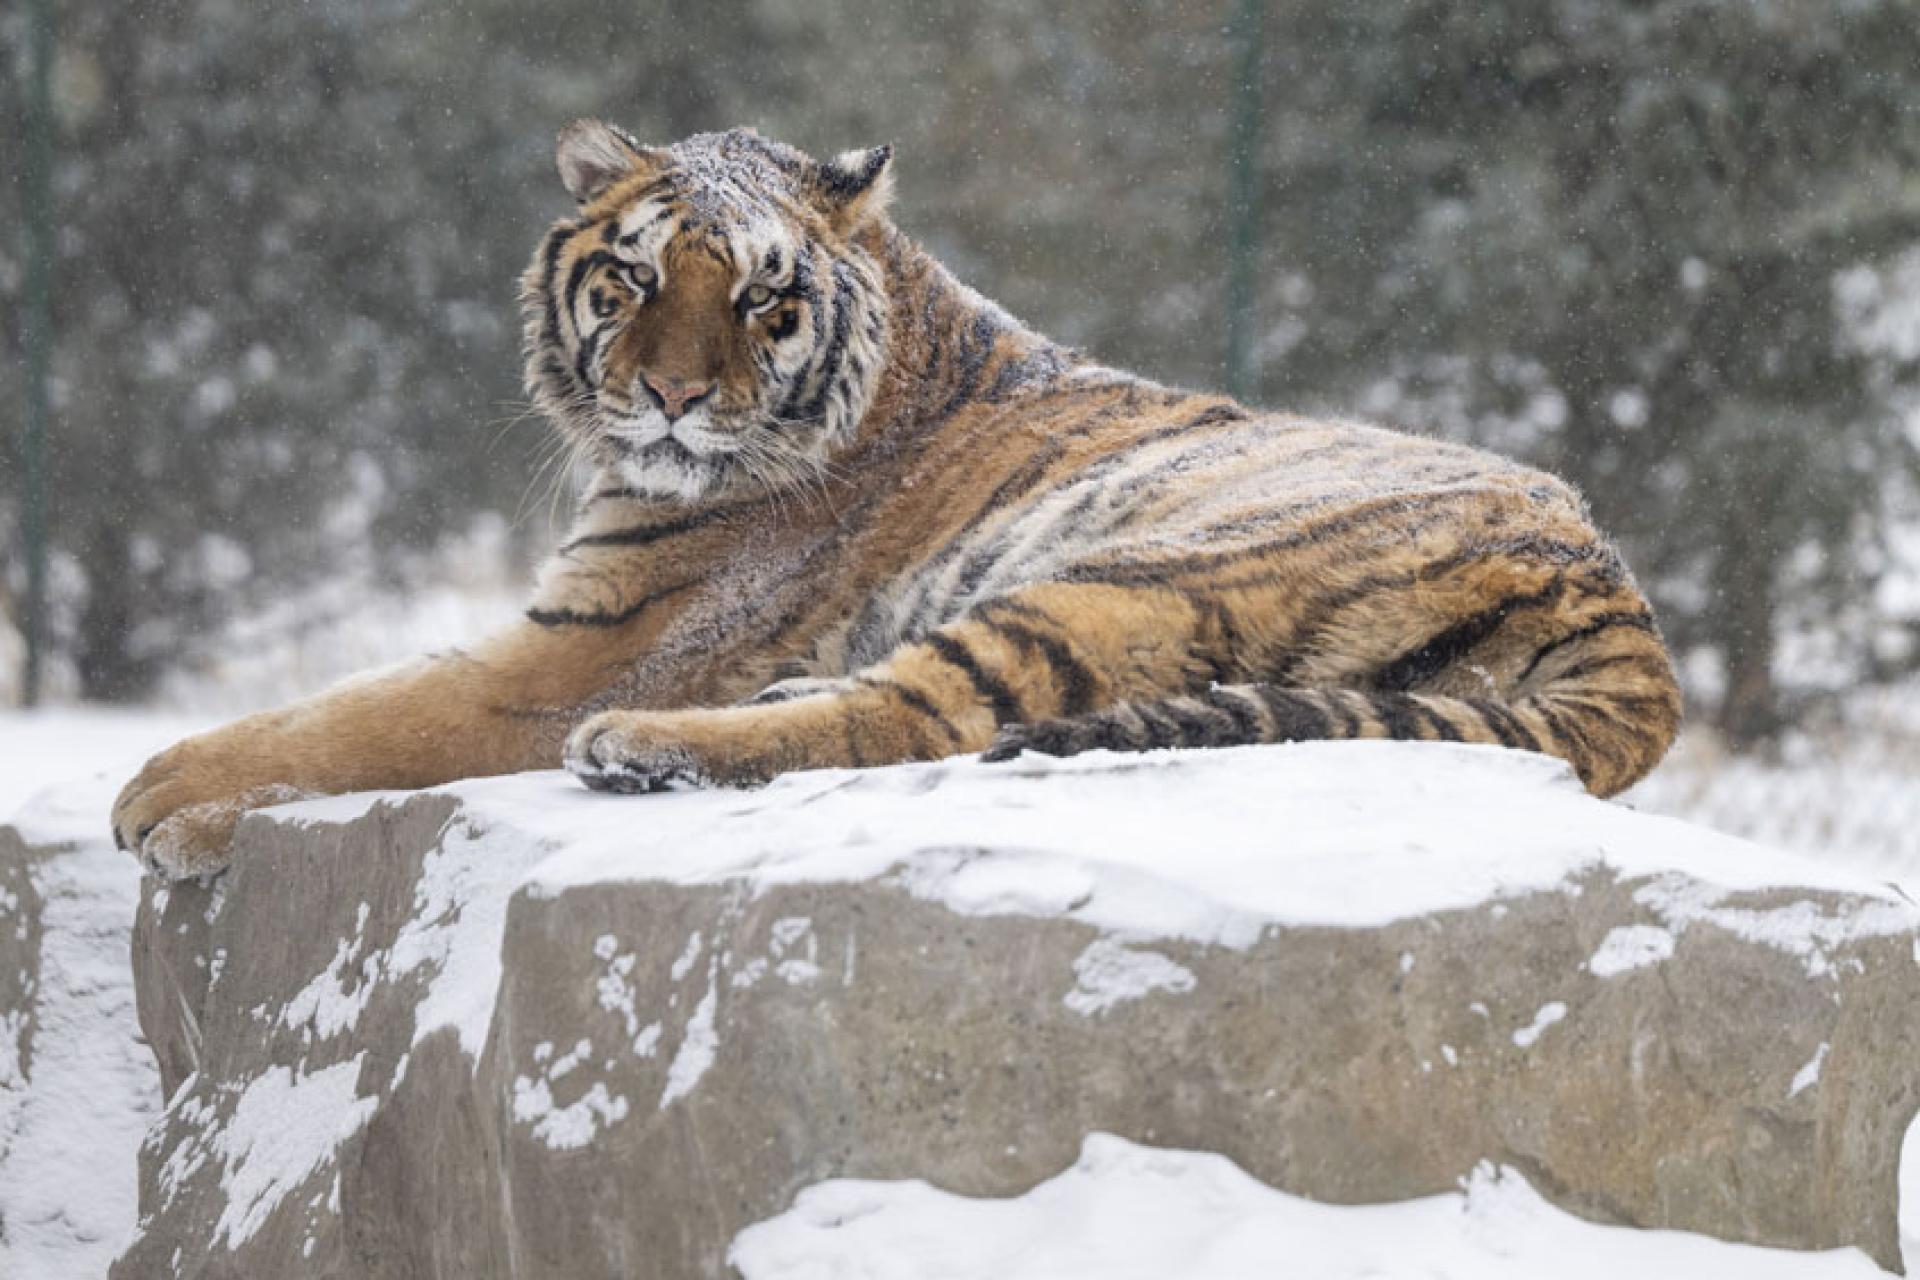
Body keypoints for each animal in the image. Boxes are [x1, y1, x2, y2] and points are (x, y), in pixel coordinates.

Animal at [112, 122, 1682, 878]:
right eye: (634, 277)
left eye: (765, 299)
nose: (671, 398)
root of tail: (1623, 606)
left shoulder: (592, 645)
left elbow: (363, 715)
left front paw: (161, 793)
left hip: (1134, 574)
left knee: (912, 718)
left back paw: (649, 748)